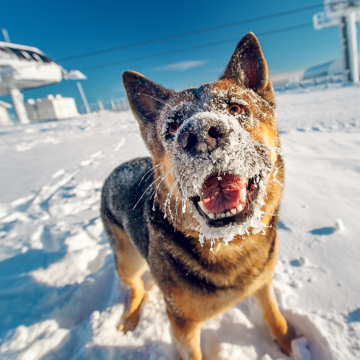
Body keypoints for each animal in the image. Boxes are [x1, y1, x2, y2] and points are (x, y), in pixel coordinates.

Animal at [100, 32, 292, 358]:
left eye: (237, 109)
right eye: (172, 126)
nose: (200, 134)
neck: (229, 244)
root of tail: (115, 170)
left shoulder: (264, 285)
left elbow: (276, 320)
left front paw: (292, 345)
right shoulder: (182, 324)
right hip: (127, 260)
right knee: (135, 287)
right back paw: (130, 317)